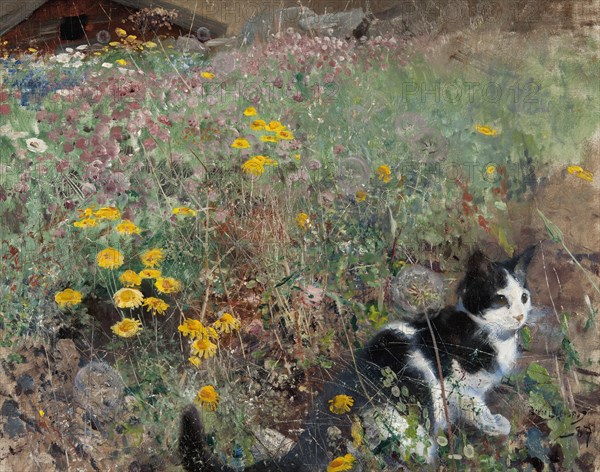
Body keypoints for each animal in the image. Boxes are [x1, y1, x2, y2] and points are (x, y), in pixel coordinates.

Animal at [180, 249, 536, 470]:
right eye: (500, 299)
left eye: (524, 296)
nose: (520, 316)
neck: (483, 330)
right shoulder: (455, 385)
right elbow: (476, 406)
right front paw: (496, 425)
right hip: (407, 426)